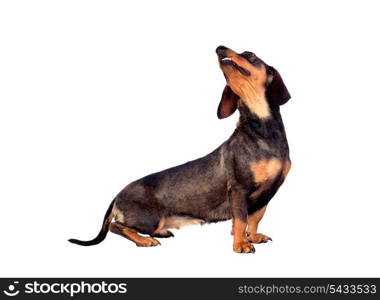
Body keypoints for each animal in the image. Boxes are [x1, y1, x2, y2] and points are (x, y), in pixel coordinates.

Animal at [69, 45, 290, 253]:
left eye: (250, 54)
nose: (219, 48)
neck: (262, 132)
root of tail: (117, 195)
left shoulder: (268, 192)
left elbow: (254, 219)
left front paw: (252, 237)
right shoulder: (239, 188)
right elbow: (242, 220)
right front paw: (241, 244)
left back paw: (160, 233)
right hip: (148, 218)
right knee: (116, 226)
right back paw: (145, 240)